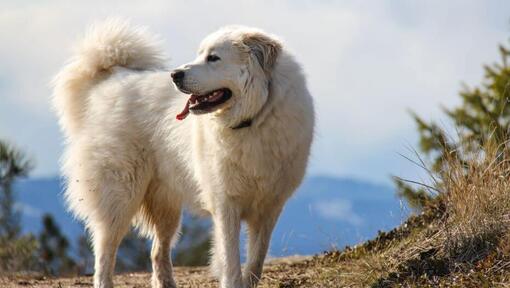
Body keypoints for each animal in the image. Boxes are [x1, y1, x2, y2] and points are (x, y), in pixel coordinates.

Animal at [52, 20, 314, 288]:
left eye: (213, 58)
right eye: (200, 54)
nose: (175, 75)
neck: (254, 119)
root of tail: (111, 79)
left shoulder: (269, 206)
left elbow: (256, 259)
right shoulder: (225, 203)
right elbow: (230, 259)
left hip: (166, 205)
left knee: (157, 251)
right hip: (120, 195)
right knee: (105, 251)